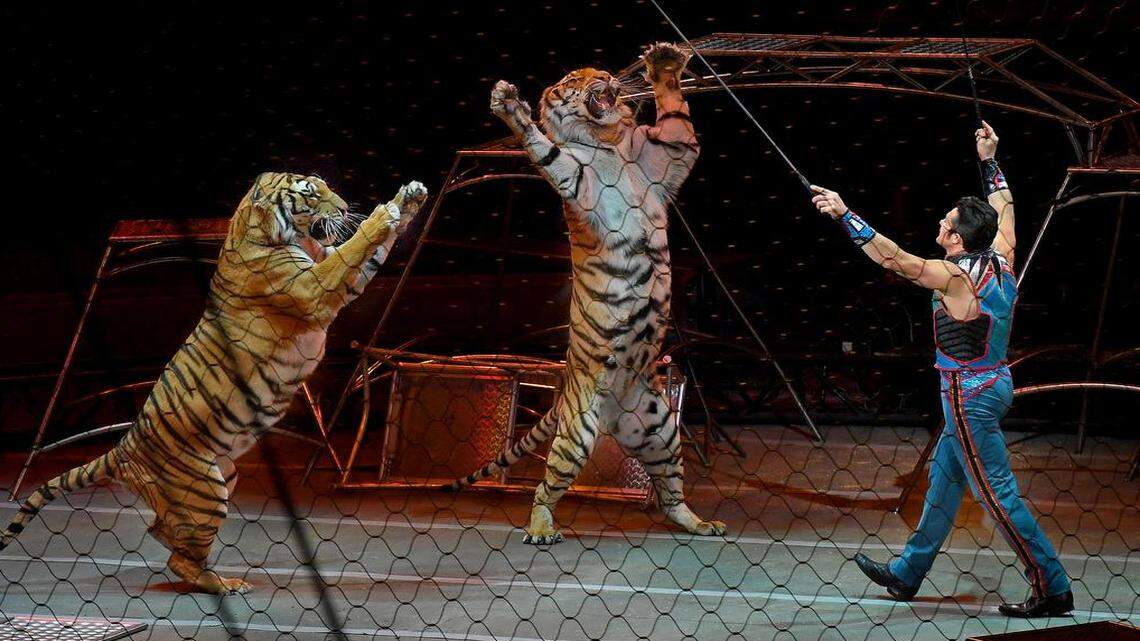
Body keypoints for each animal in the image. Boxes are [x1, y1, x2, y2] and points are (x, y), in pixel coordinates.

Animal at [1, 172, 428, 594]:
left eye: (325, 185)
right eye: (311, 193)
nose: (342, 208)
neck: (268, 233)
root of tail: (123, 449)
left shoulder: (332, 274)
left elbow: (368, 255)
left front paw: (409, 197)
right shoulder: (315, 287)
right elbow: (351, 250)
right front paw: (383, 213)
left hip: (224, 473)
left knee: (161, 531)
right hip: (206, 492)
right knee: (179, 557)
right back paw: (226, 585)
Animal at [447, 42, 726, 544]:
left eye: (598, 70)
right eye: (573, 80)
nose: (604, 77)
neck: (608, 140)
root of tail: (611, 412)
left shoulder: (671, 154)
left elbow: (677, 116)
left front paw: (664, 63)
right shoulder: (577, 180)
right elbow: (547, 149)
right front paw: (511, 106)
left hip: (661, 429)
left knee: (670, 492)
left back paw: (698, 522)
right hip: (578, 431)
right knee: (545, 487)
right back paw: (540, 528)